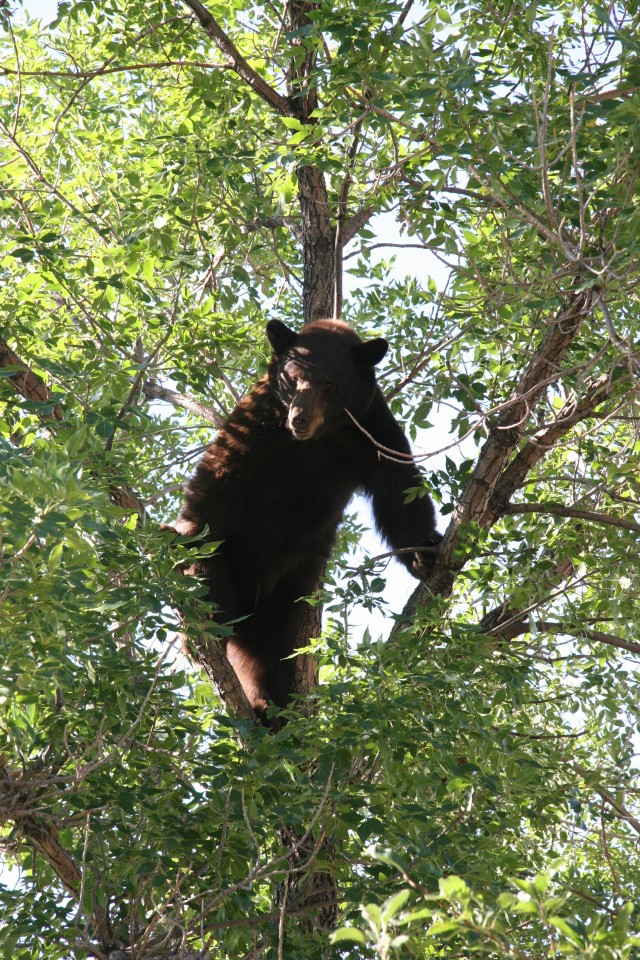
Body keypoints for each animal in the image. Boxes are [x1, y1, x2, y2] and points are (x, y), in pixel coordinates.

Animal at [169, 320, 440, 720]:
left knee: (272, 648)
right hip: (230, 565)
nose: (299, 418)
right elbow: (219, 476)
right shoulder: (258, 424)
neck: (315, 438)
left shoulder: (368, 428)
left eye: (329, 384)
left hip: (289, 587)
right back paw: (204, 628)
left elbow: (398, 484)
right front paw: (186, 534)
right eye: (293, 378)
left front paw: (424, 551)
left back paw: (270, 709)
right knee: (212, 583)